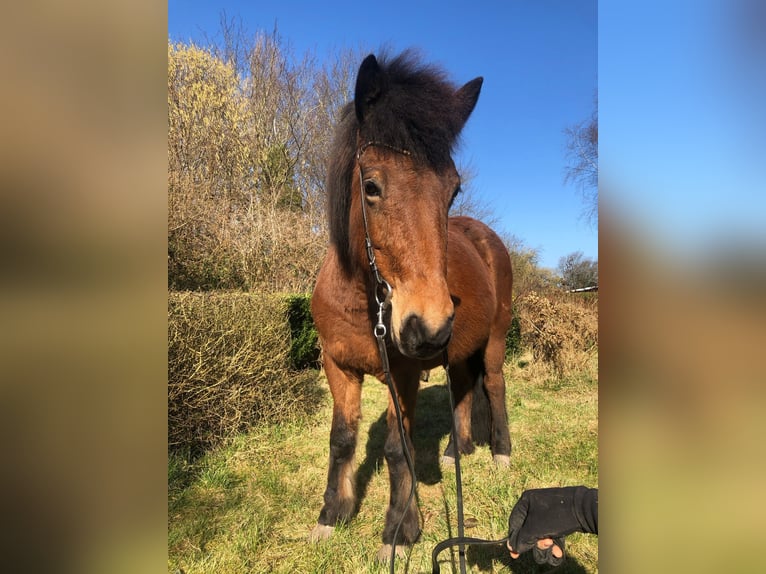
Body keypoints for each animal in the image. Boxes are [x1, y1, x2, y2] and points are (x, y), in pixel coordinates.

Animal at [309, 50, 513, 561]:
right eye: (371, 186)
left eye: (453, 188)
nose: (429, 324)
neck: (363, 303)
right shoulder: (337, 366)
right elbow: (341, 440)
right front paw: (331, 514)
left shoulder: (401, 374)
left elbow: (397, 449)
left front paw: (399, 531)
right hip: (457, 351)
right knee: (464, 389)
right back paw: (457, 449)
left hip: (495, 337)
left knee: (493, 384)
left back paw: (501, 452)